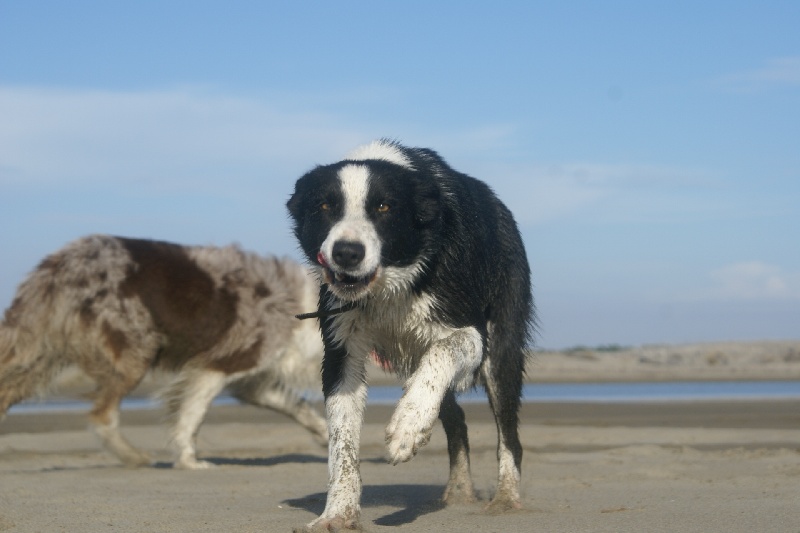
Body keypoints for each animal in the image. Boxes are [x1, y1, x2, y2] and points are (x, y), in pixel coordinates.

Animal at [0, 235, 326, 468]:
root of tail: (56, 266)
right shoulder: (219, 366)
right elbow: (191, 415)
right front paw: (189, 461)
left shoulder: (253, 381)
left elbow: (298, 406)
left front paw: (325, 435)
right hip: (134, 352)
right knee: (102, 415)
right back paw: (133, 457)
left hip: (40, 355)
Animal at [284, 139, 536, 528]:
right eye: (325, 206)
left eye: (384, 207)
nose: (346, 253)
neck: (389, 285)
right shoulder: (341, 346)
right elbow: (342, 444)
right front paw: (337, 514)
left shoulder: (471, 331)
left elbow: (444, 350)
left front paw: (407, 426)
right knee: (457, 421)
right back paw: (458, 492)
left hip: (502, 342)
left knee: (508, 433)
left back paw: (505, 499)